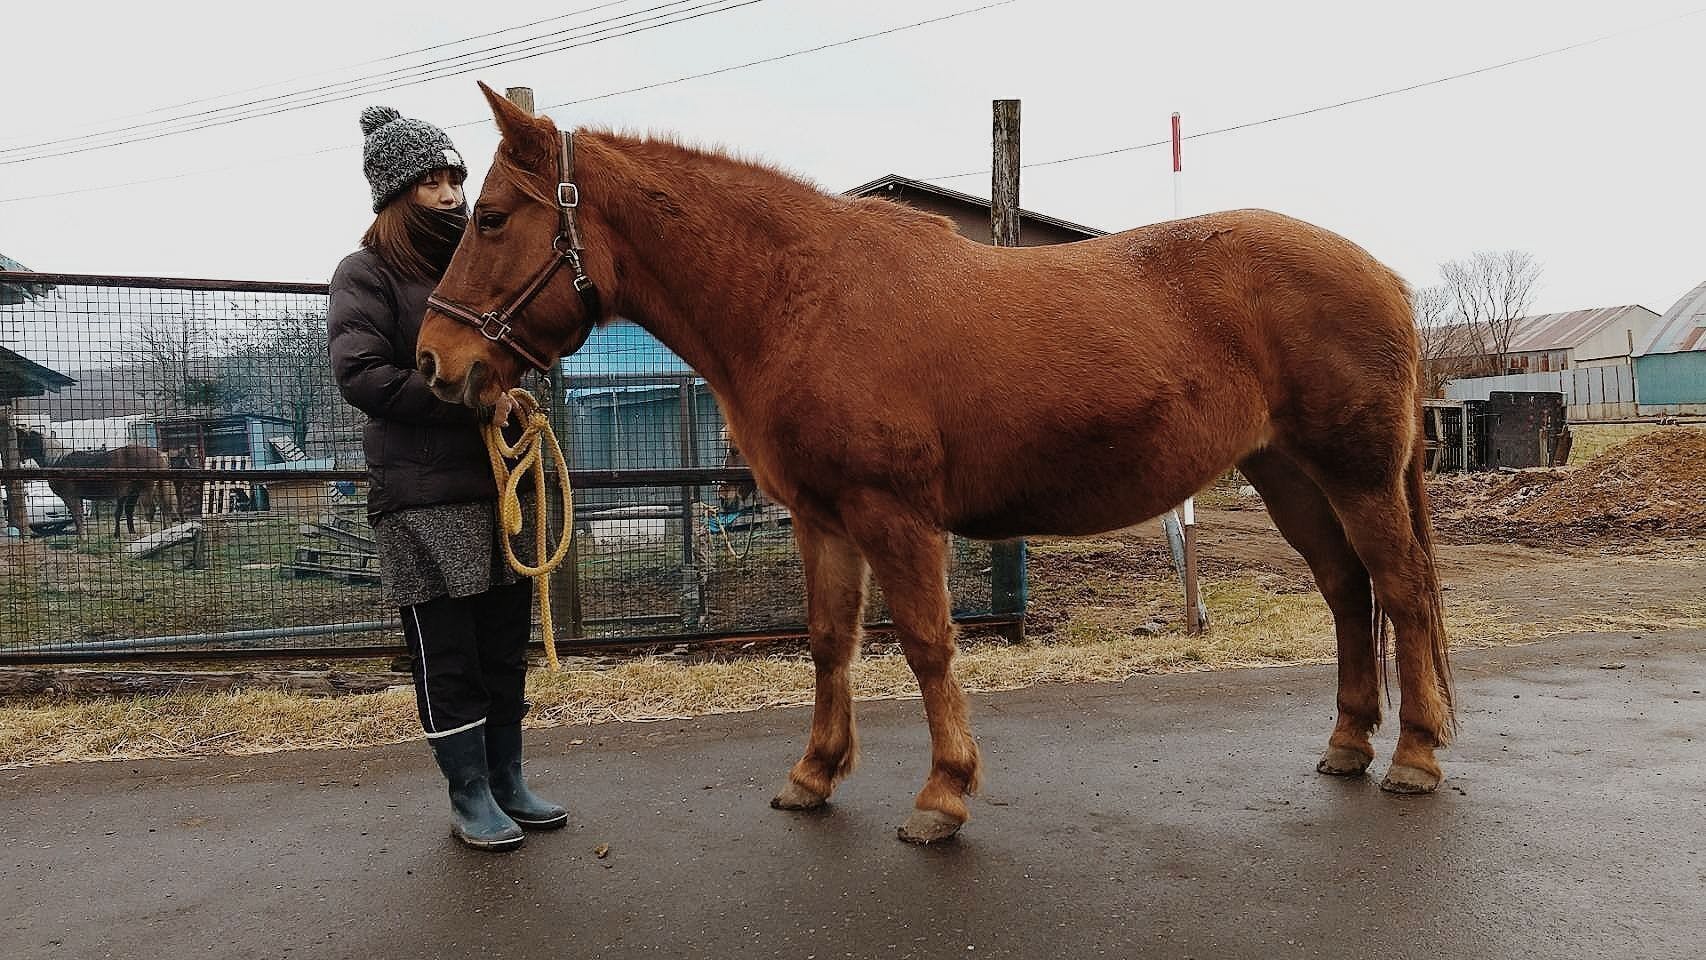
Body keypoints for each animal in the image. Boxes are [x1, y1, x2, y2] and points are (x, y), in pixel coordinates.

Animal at [416, 86, 1453, 845]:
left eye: (494, 218)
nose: (435, 361)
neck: (801, 295)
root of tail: (1383, 276)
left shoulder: (895, 516)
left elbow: (923, 645)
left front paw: (943, 796)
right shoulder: (823, 519)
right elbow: (829, 642)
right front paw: (814, 775)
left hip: (1356, 476)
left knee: (1400, 589)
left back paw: (1416, 756)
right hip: (1290, 477)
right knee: (1346, 589)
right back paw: (1350, 743)